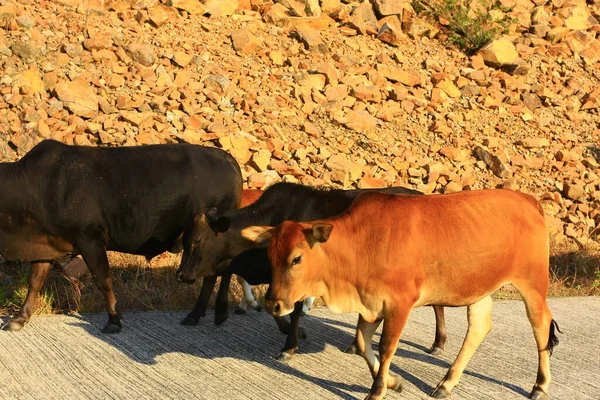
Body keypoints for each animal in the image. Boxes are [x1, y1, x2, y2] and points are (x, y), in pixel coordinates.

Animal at [1, 139, 244, 332]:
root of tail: (227, 158)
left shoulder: (90, 239)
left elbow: (103, 279)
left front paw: (114, 320)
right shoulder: (46, 244)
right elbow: (35, 281)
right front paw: (19, 318)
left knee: (217, 272)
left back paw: (205, 313)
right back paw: (207, 314)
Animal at [173, 183, 446, 360]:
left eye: (197, 240)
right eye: (184, 239)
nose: (181, 275)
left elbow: (291, 310)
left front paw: (289, 344)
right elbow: (271, 303)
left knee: (436, 303)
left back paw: (438, 343)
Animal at [241, 189, 560, 398]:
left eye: (296, 258)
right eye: (270, 255)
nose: (274, 304)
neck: (362, 243)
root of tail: (528, 200)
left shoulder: (399, 304)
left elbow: (386, 348)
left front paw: (377, 390)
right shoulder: (370, 303)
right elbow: (362, 342)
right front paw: (393, 382)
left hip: (532, 284)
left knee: (541, 326)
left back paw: (540, 385)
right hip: (479, 287)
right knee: (479, 328)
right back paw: (446, 383)